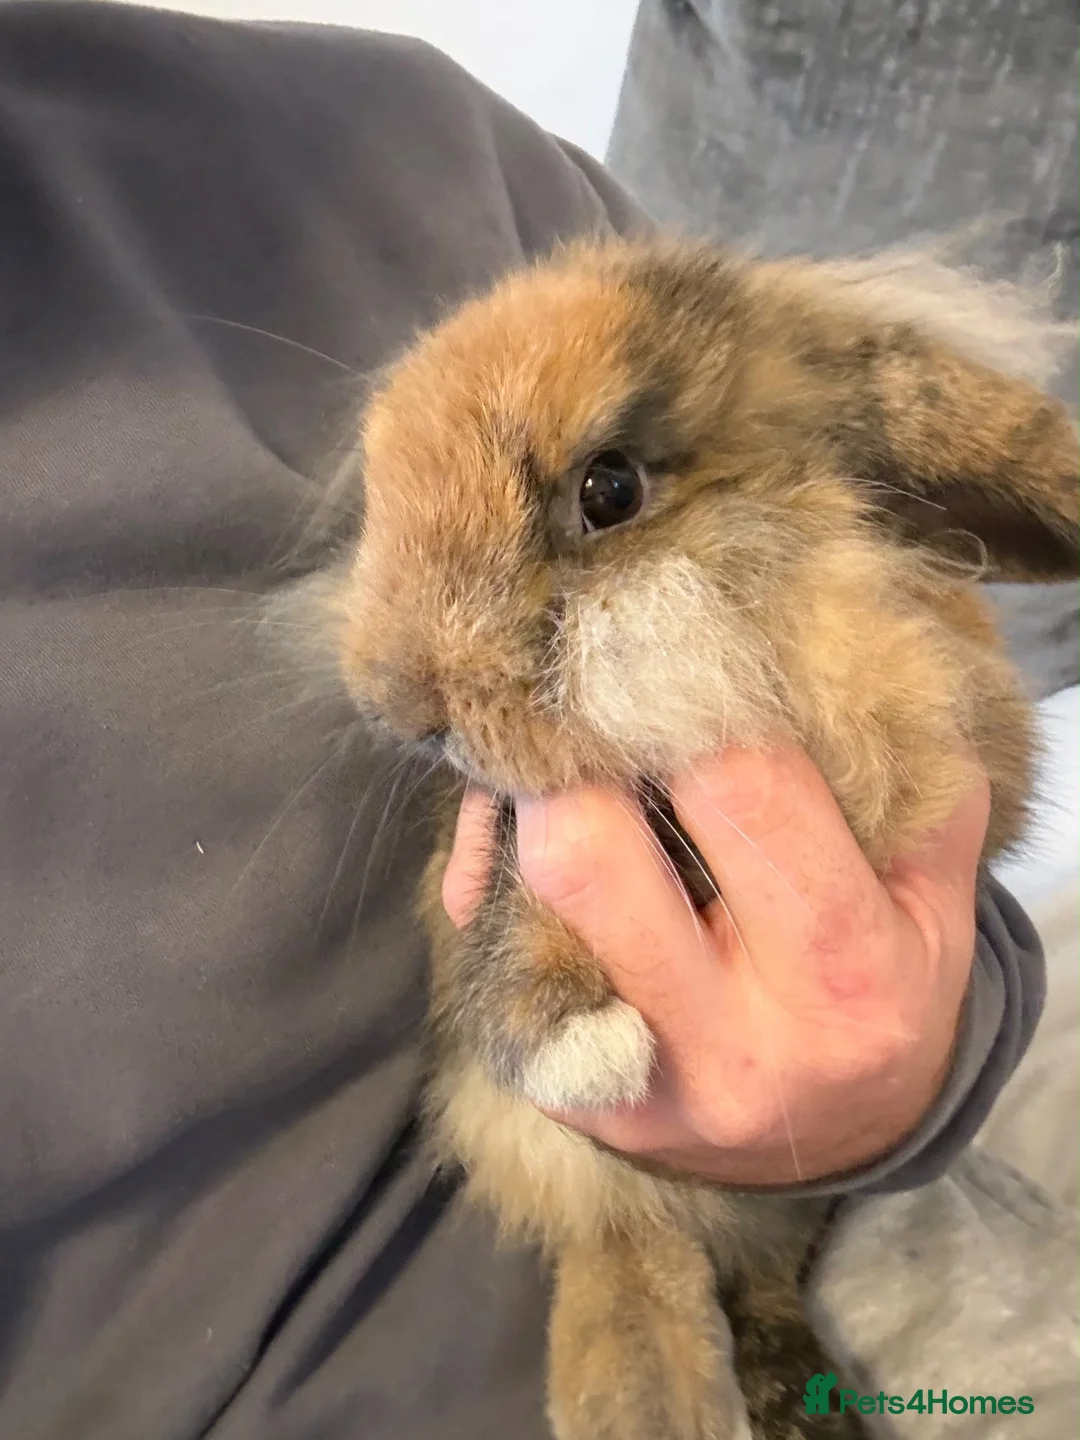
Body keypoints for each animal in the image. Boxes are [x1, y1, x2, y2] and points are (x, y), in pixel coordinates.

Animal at [306, 234, 1079, 1440]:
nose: (401, 703)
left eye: (609, 489)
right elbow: (512, 926)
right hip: (610, 1198)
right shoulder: (516, 852)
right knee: (632, 1257)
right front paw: (586, 1046)